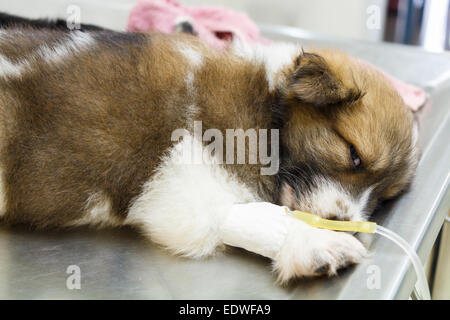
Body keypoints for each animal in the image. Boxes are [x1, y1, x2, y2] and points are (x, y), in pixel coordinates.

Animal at [0, 27, 418, 282]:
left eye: (382, 199)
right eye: (353, 154)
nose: (341, 221)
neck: (265, 108)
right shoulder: (178, 185)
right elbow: (251, 214)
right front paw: (311, 241)